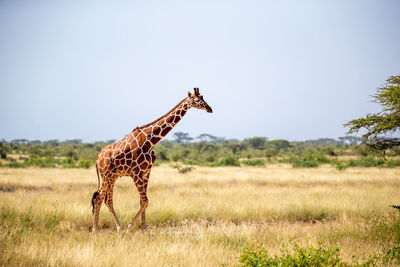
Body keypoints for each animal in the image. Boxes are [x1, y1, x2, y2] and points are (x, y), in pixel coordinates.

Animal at [91, 88, 212, 232]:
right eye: (198, 100)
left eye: (203, 97)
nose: (210, 109)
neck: (150, 141)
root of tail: (97, 158)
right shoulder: (136, 173)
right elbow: (145, 201)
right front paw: (130, 227)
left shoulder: (147, 171)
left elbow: (143, 201)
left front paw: (144, 228)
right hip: (105, 175)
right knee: (99, 199)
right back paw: (97, 229)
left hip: (112, 177)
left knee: (106, 200)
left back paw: (116, 227)